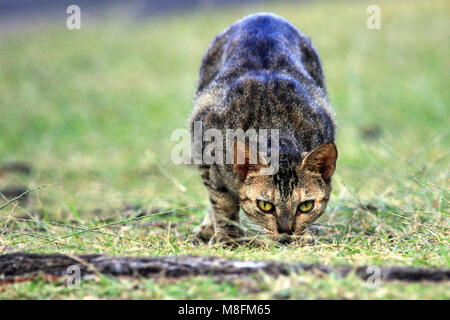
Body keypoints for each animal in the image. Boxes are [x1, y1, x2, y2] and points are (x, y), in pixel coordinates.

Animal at [190, 11, 338, 244]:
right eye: (265, 206)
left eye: (306, 206)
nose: (286, 232)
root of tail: (263, 15)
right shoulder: (206, 148)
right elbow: (222, 201)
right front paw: (229, 237)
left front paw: (304, 235)